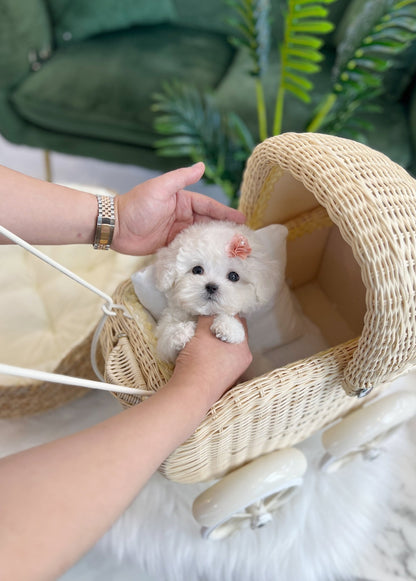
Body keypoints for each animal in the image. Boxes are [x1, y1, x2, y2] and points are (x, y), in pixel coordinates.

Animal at [153, 220, 286, 360]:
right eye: (197, 270)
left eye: (233, 276)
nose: (211, 286)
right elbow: (165, 343)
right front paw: (179, 333)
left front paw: (228, 327)